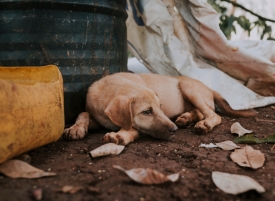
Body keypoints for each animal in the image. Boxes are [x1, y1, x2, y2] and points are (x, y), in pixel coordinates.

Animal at [63, 72, 258, 144]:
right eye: (147, 112)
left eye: (160, 107)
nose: (174, 130)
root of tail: (210, 89)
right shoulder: (98, 117)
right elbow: (83, 113)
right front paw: (76, 128)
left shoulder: (137, 127)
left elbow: (131, 128)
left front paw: (120, 135)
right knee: (201, 111)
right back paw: (186, 118)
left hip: (188, 88)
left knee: (213, 114)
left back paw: (204, 124)